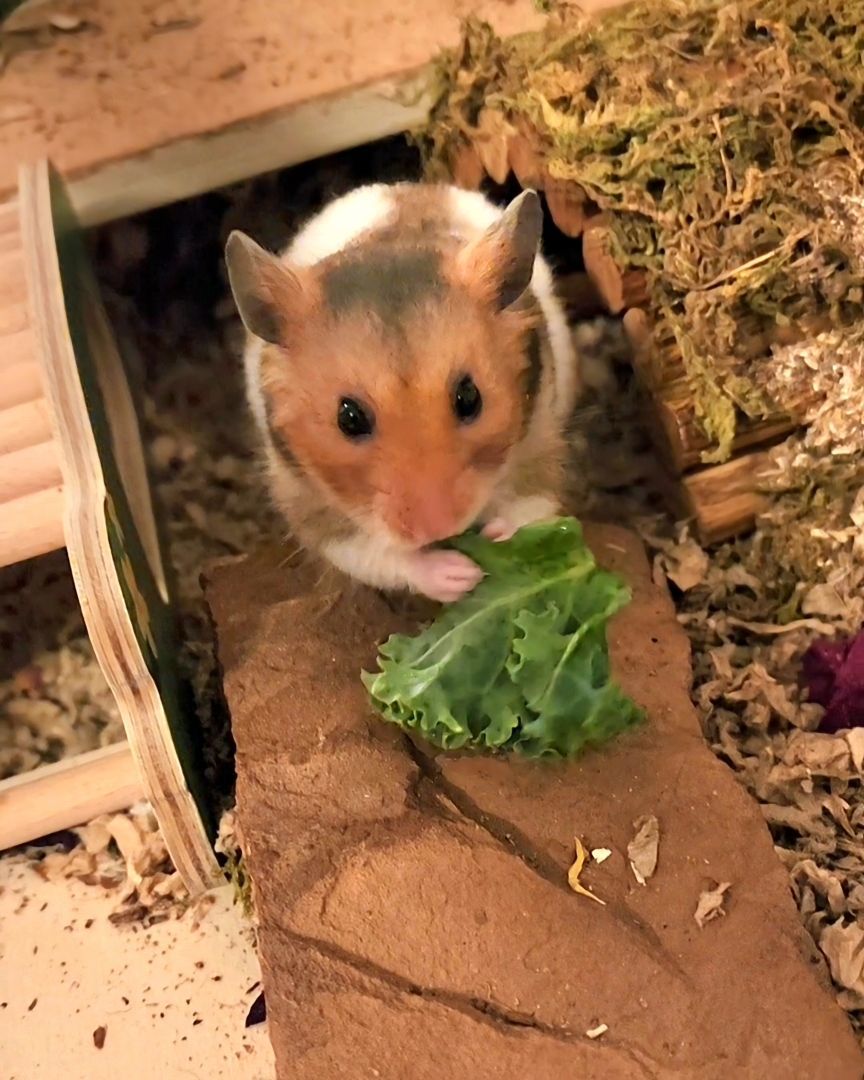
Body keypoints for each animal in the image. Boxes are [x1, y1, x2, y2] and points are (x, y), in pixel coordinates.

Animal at [225, 182, 579, 603]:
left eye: (470, 398)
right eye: (349, 418)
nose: (440, 529)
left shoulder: (540, 441)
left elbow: (530, 506)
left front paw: (497, 541)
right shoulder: (311, 504)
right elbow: (378, 555)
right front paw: (460, 575)